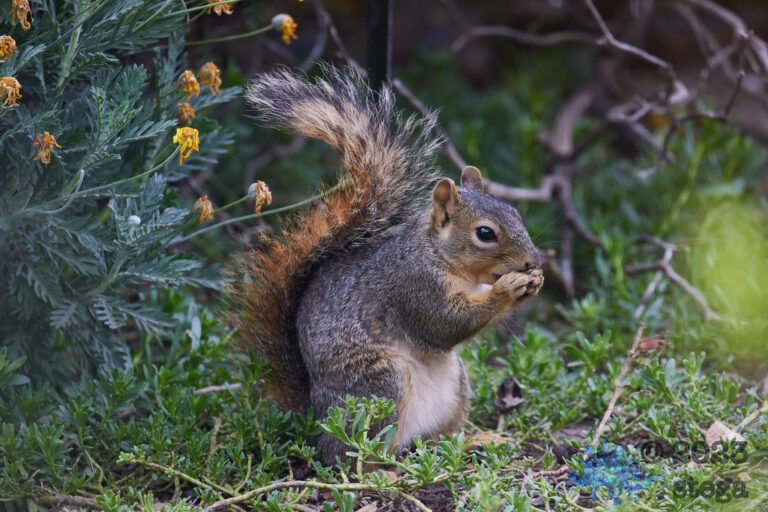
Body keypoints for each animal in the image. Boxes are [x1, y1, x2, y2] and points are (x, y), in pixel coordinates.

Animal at [232, 67, 543, 463]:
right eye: (485, 233)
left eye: (516, 213)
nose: (533, 260)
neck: (440, 256)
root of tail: (315, 420)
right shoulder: (414, 285)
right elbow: (446, 324)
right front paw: (509, 288)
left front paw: (534, 281)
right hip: (380, 385)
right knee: (352, 454)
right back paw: (383, 467)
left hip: (455, 388)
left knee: (432, 441)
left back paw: (475, 440)